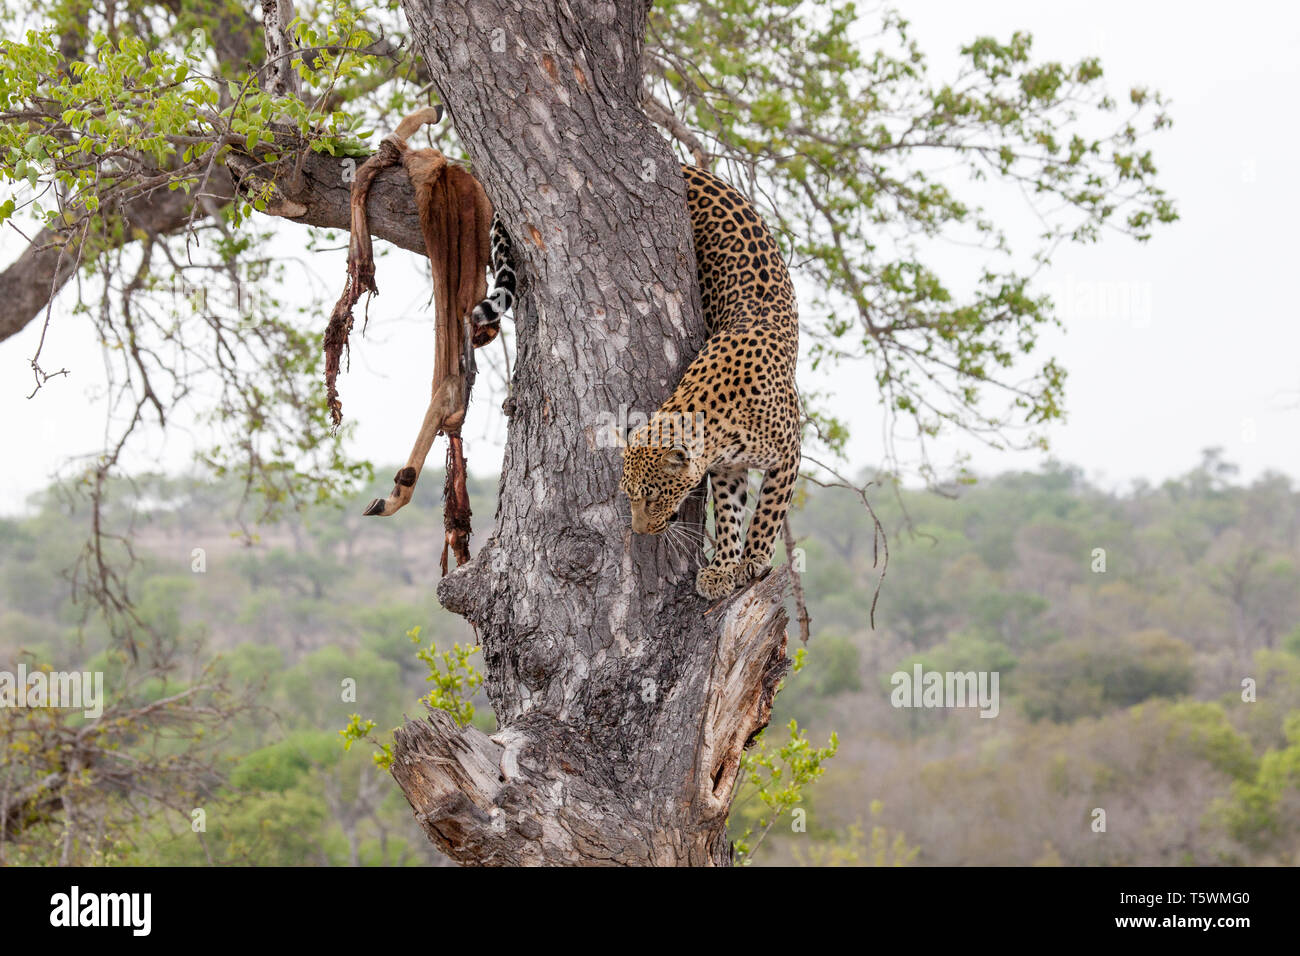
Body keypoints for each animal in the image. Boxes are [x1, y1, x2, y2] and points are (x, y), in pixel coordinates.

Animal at [475, 162, 800, 598]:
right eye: (630, 495)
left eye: (654, 497)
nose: (640, 532)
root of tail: (688, 165)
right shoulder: (726, 469)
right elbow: (729, 513)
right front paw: (721, 568)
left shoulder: (788, 454)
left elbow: (767, 512)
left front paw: (753, 559)